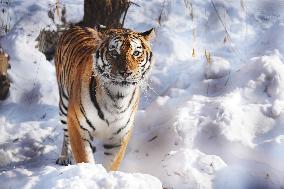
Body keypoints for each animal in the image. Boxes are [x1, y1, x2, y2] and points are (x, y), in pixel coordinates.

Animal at [54, 25, 154, 171]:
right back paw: (63, 158)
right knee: (66, 135)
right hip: (64, 105)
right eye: (114, 52)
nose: (126, 73)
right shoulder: (77, 124)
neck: (117, 97)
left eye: (136, 53)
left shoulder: (120, 135)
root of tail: (76, 26)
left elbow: (112, 164)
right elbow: (85, 158)